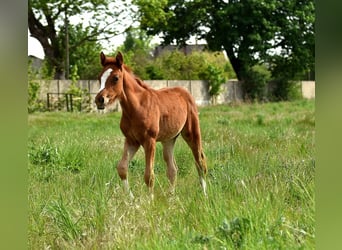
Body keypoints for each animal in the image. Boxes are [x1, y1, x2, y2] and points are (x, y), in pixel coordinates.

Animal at [95, 52, 207, 197]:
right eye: (99, 78)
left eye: (115, 78)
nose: (99, 100)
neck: (136, 107)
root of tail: (185, 92)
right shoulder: (132, 140)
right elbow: (122, 168)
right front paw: (131, 199)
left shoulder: (149, 140)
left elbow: (149, 175)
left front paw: (150, 200)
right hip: (168, 139)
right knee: (172, 169)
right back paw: (170, 198)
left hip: (192, 133)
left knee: (200, 162)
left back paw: (205, 195)